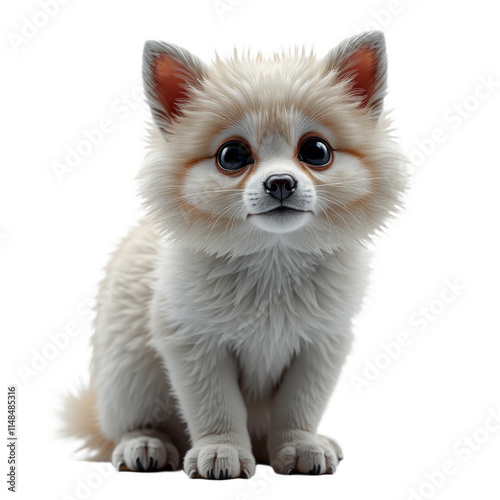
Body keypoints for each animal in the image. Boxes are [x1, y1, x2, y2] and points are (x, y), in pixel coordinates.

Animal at [61, 32, 406, 480]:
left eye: (316, 151)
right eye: (232, 156)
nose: (281, 182)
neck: (273, 260)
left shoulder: (320, 343)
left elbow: (300, 405)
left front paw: (300, 446)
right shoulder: (193, 341)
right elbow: (216, 405)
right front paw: (220, 452)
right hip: (128, 372)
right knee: (127, 424)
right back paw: (145, 444)